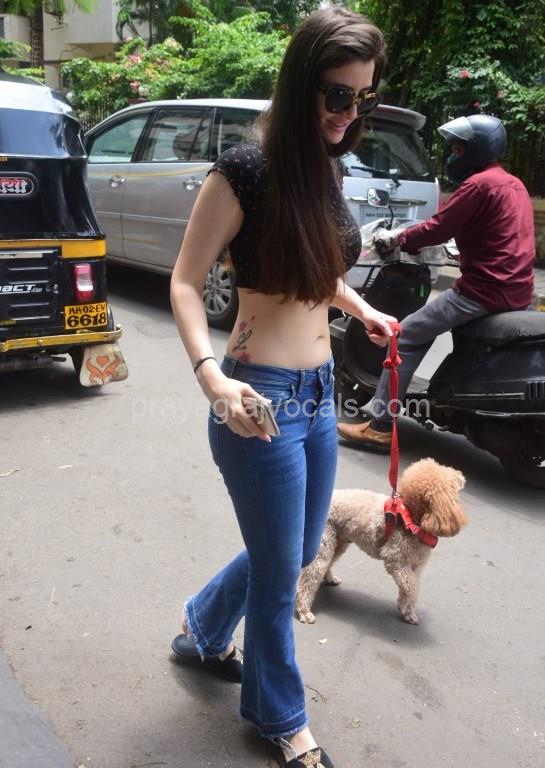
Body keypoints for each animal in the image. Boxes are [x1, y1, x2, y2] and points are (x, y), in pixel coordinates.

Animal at [296, 458, 467, 625]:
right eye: (450, 480)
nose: (460, 475)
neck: (412, 520)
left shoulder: (415, 566)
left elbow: (412, 587)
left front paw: (408, 611)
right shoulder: (396, 561)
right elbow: (411, 587)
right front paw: (404, 606)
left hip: (339, 542)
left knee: (328, 562)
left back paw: (329, 578)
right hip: (325, 542)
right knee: (311, 573)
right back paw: (304, 610)